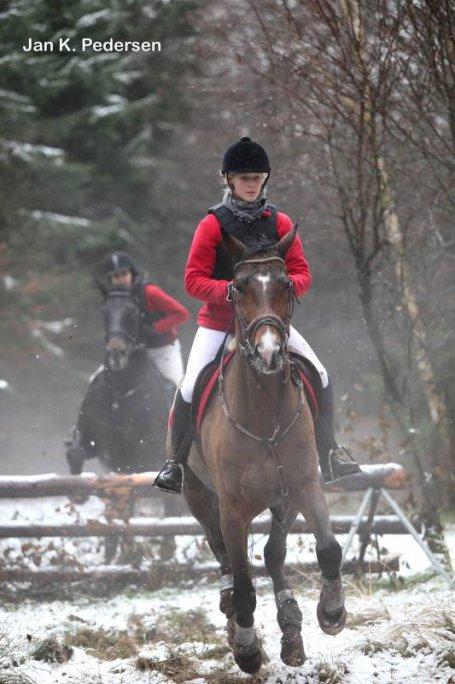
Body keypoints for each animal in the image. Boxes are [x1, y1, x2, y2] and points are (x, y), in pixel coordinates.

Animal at [178, 228, 346, 672]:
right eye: (237, 287)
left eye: (286, 284)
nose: (270, 353)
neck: (264, 416)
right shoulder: (232, 509)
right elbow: (242, 583)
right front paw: (248, 649)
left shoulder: (304, 485)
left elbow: (328, 549)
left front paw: (331, 612)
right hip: (198, 496)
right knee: (223, 558)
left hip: (281, 499)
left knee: (273, 555)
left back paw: (291, 630)